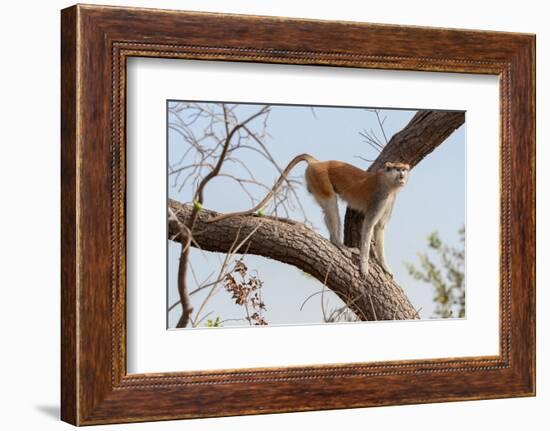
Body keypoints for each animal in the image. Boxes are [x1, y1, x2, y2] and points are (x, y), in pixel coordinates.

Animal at [209, 154, 412, 276]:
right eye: (397, 169)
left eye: (404, 169)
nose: (402, 175)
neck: (389, 183)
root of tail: (317, 162)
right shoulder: (380, 198)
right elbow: (369, 225)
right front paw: (364, 266)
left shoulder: (389, 201)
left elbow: (380, 228)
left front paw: (385, 266)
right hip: (319, 178)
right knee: (330, 202)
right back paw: (338, 244)